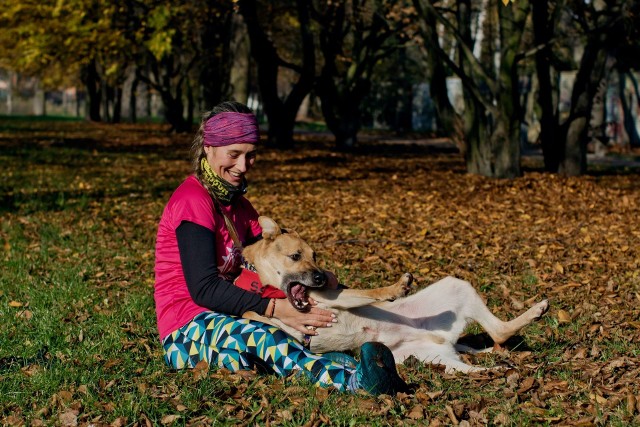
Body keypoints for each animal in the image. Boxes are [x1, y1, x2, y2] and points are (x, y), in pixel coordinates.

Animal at [242, 219, 548, 372]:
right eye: (295, 256)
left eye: (315, 256)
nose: (321, 277)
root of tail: (443, 340)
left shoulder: (332, 296)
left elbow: (369, 292)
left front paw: (396, 288)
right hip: (429, 357)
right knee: (485, 350)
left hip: (457, 286)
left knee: (497, 332)